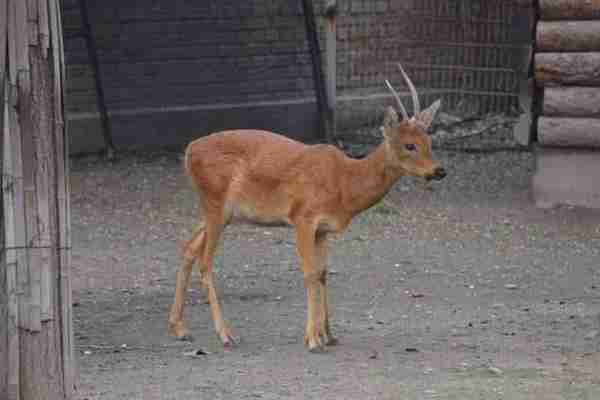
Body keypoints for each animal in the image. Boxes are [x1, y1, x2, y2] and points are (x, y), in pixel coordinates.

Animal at [169, 64, 446, 352]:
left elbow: (323, 273)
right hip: (216, 204)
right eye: (409, 145)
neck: (345, 183)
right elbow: (309, 273)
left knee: (188, 249)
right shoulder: (302, 217)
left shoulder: (323, 229)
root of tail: (188, 151)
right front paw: (312, 339)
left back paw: (180, 328)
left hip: (219, 212)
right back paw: (225, 335)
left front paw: (328, 335)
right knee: (205, 261)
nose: (439, 170)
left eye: (429, 142)